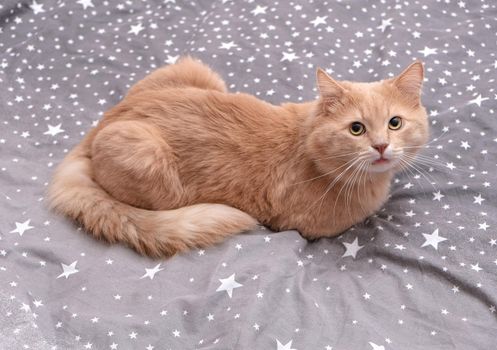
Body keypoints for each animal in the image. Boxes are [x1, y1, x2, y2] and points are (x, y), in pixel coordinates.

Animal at [48, 57, 428, 258]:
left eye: (394, 123)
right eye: (356, 129)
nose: (381, 146)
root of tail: (100, 126)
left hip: (195, 70)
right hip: (145, 155)